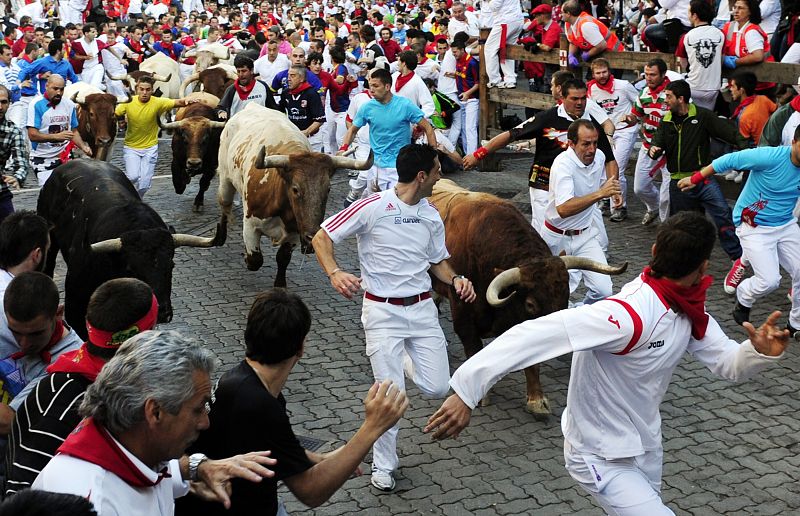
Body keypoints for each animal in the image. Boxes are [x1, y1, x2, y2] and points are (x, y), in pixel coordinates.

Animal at [428, 180, 628, 420]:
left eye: (565, 297)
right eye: (530, 304)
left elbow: (531, 362)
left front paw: (536, 400)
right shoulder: (464, 317)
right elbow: (473, 350)